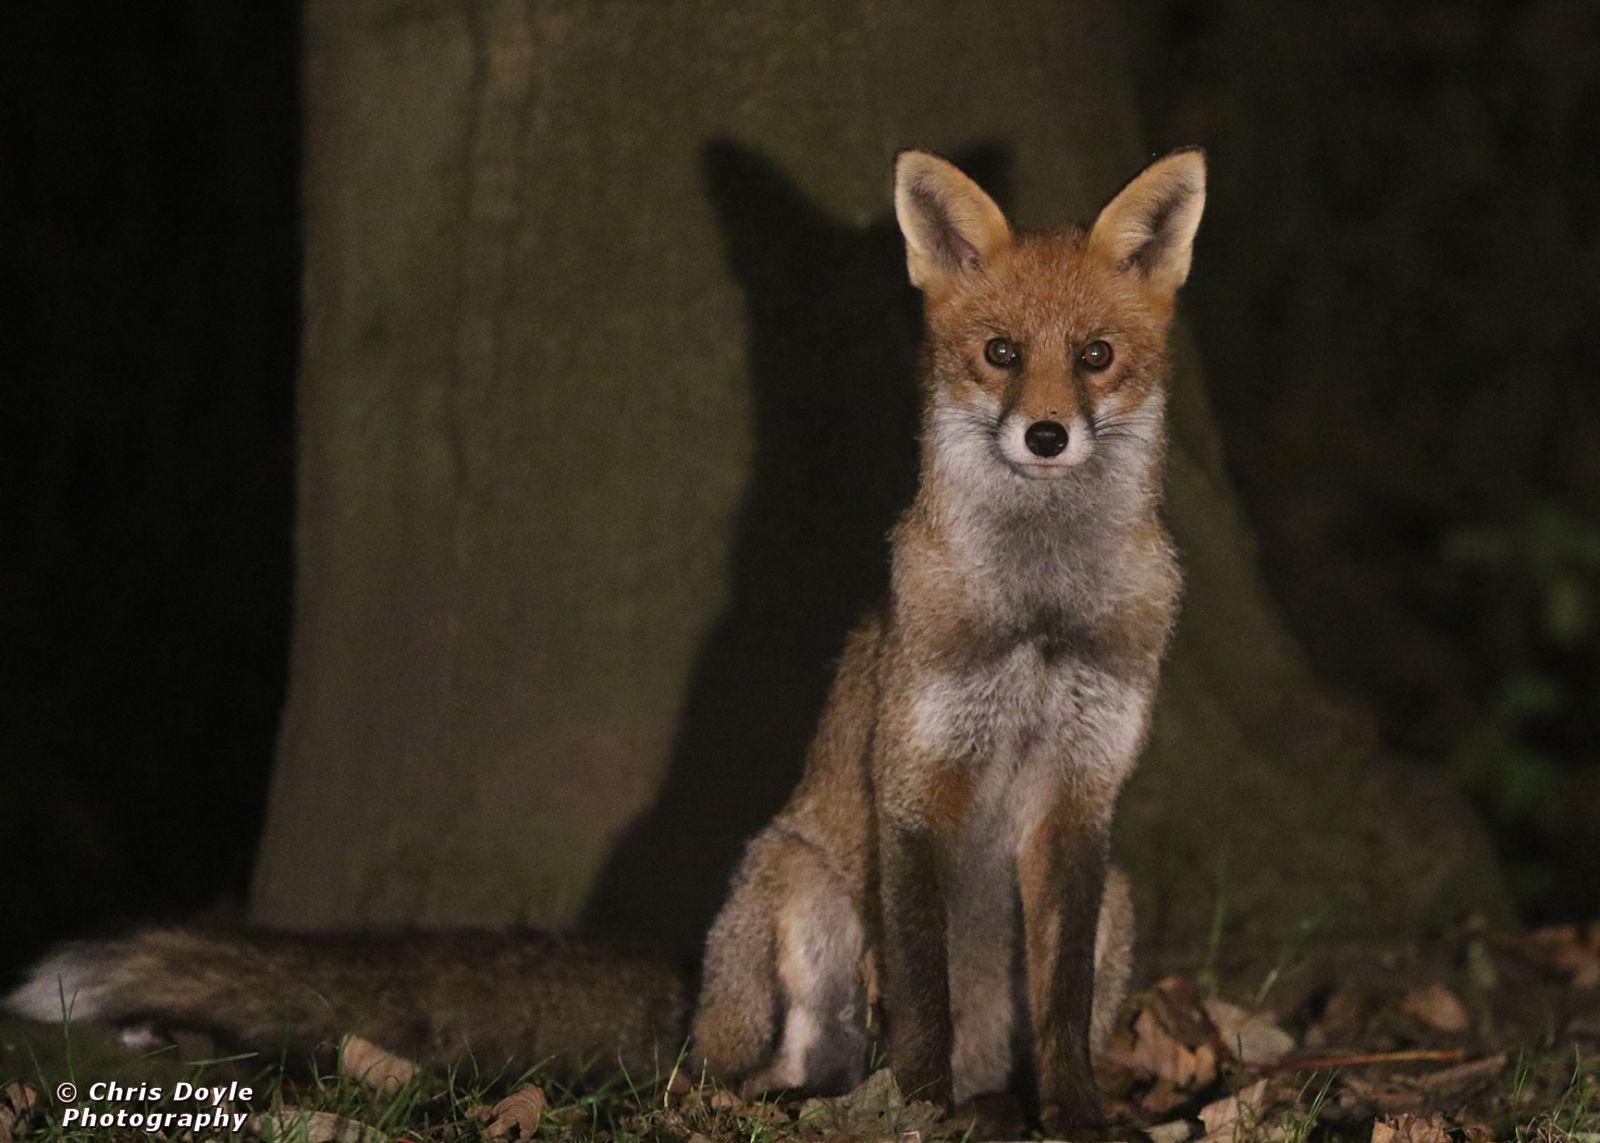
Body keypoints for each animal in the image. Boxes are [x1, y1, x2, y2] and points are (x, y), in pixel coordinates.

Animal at [3, 144, 1203, 1133]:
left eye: (1096, 355)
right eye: (999, 351)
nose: (1045, 435)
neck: (1039, 616)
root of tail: (692, 1006)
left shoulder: (1081, 798)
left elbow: (1058, 1012)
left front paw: (1075, 1119)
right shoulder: (914, 784)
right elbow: (920, 996)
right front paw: (928, 1112)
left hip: (1119, 904)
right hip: (797, 894)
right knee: (744, 1074)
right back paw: (812, 1100)